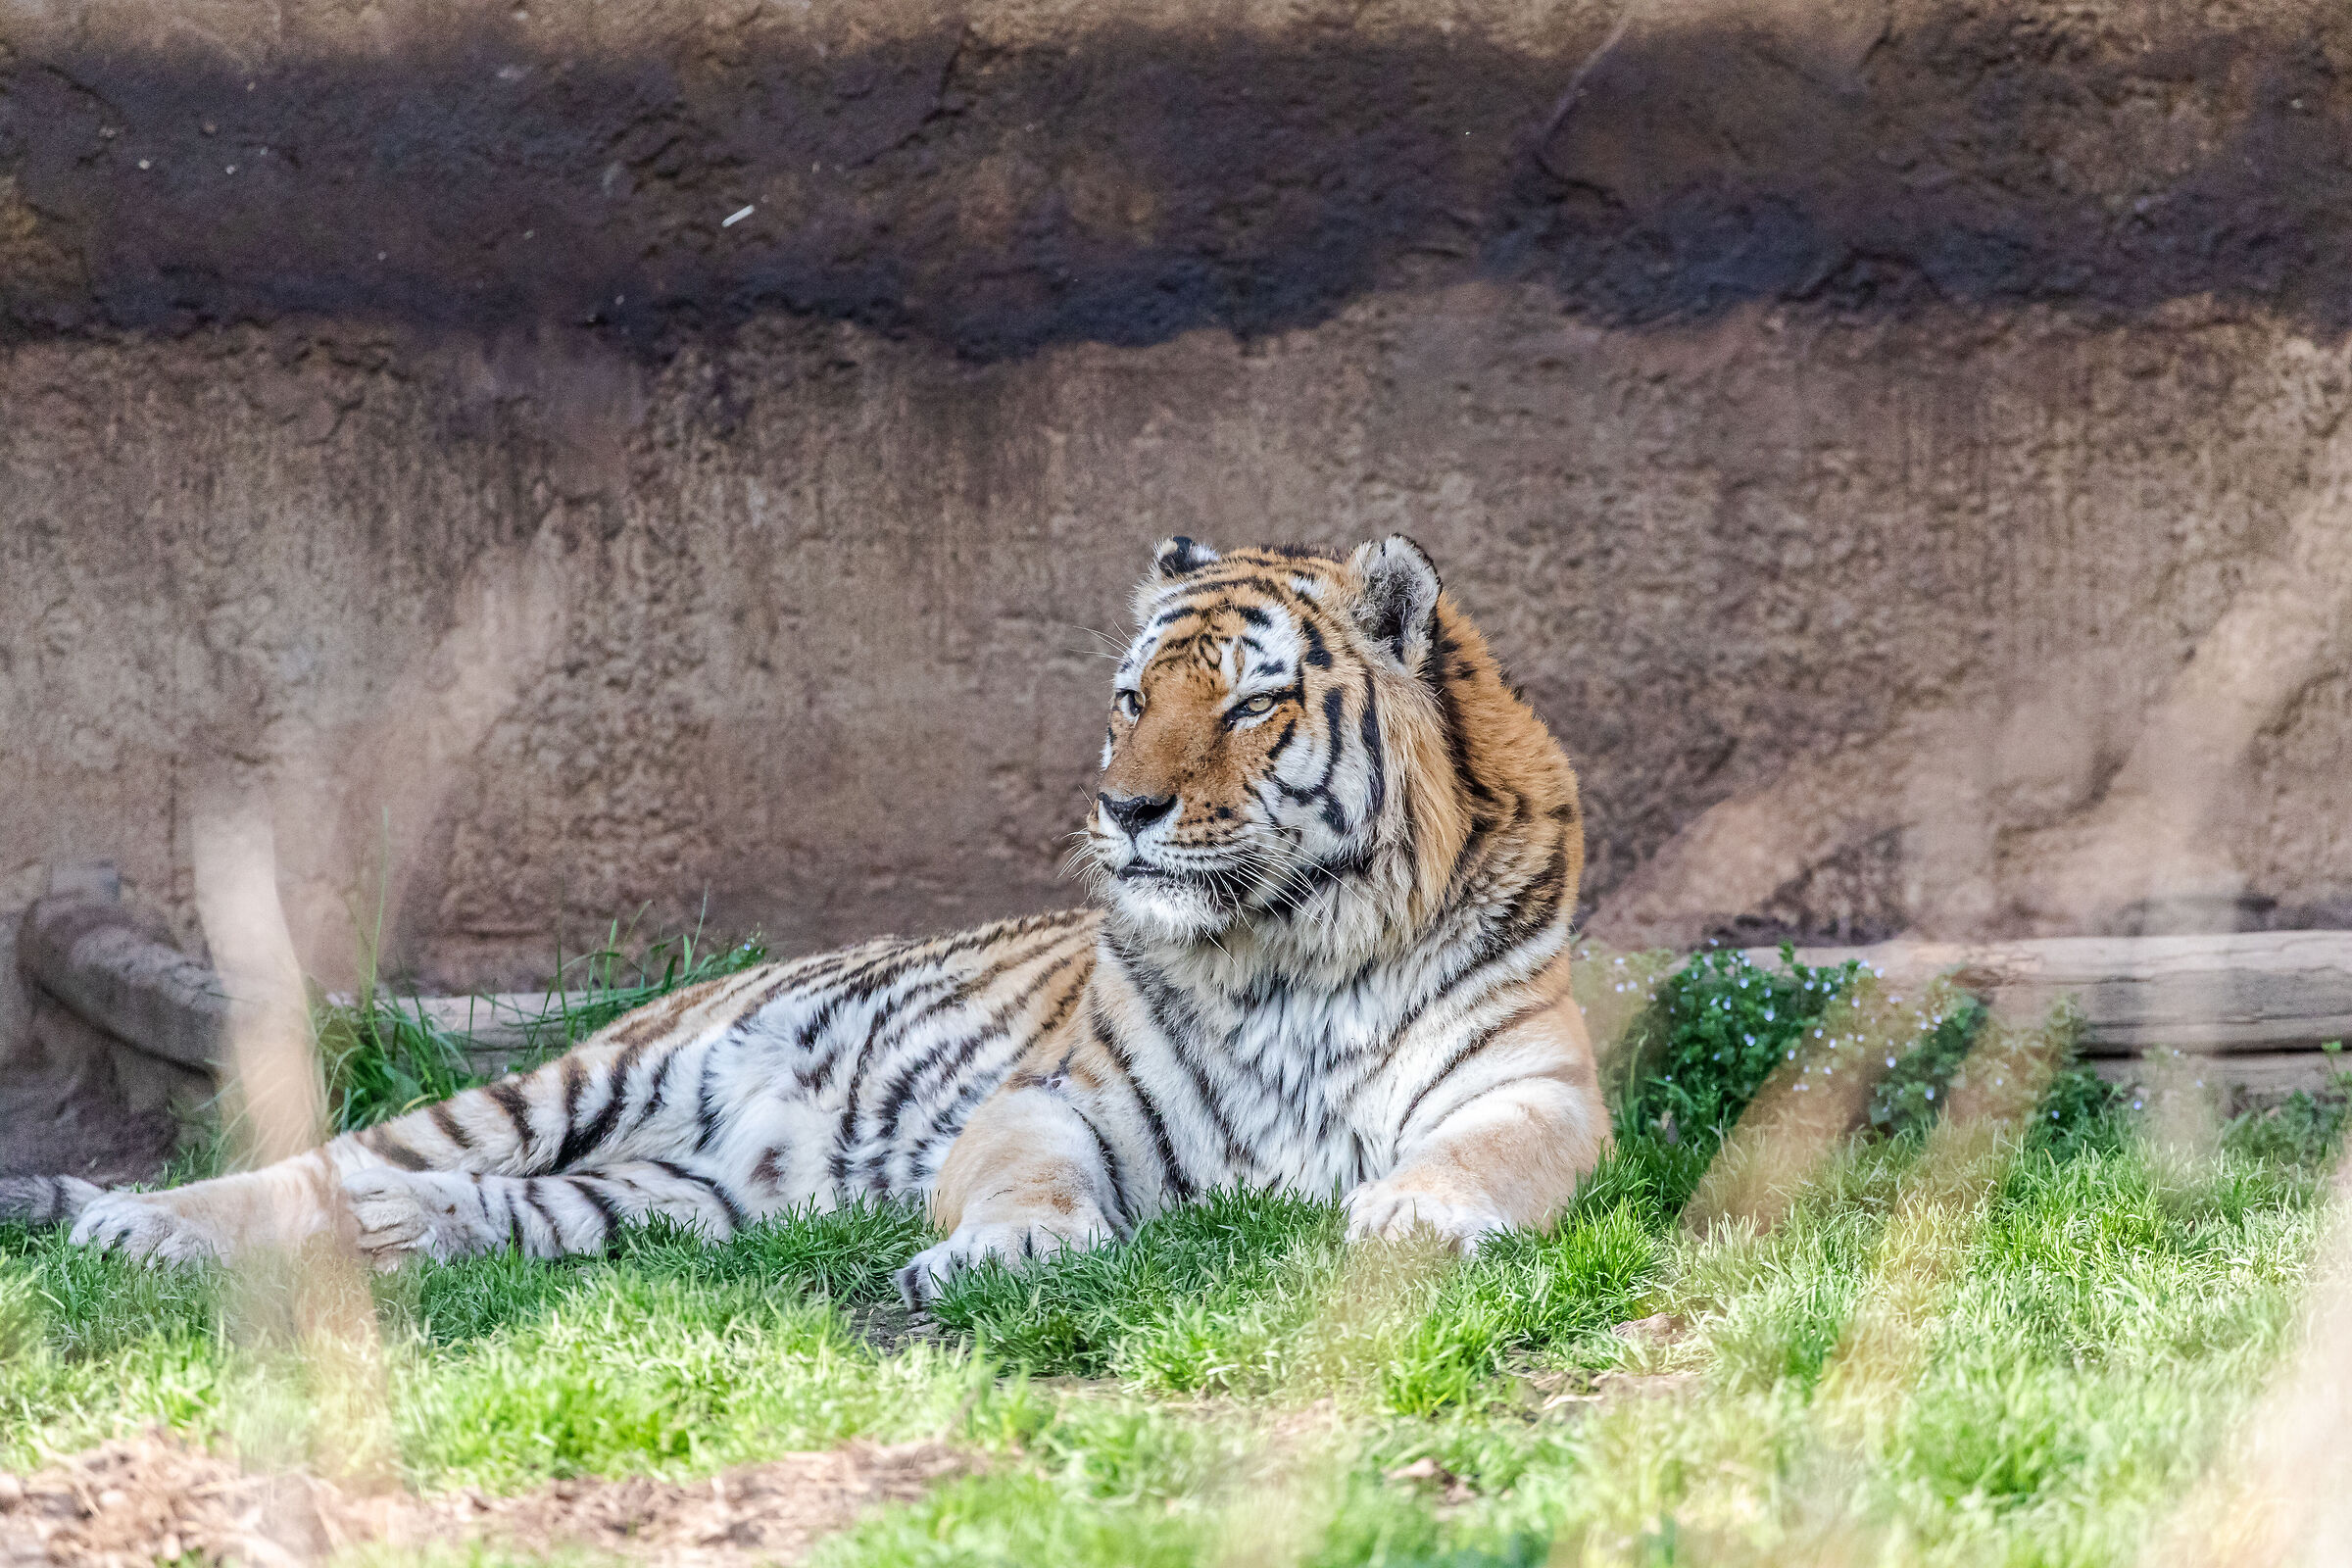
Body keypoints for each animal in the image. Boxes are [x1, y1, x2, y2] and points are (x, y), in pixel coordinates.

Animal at [1, 535, 1610, 1304]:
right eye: (1132, 698)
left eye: (1251, 703)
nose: (1129, 809)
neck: (1289, 948)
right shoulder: (1054, 1100)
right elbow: (1036, 1183)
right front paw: (1007, 1258)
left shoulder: (1538, 1088)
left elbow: (1488, 1158)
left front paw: (1410, 1214)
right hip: (554, 1091)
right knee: (312, 1166)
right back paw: (124, 1224)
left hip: (653, 1203)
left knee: (431, 1211)